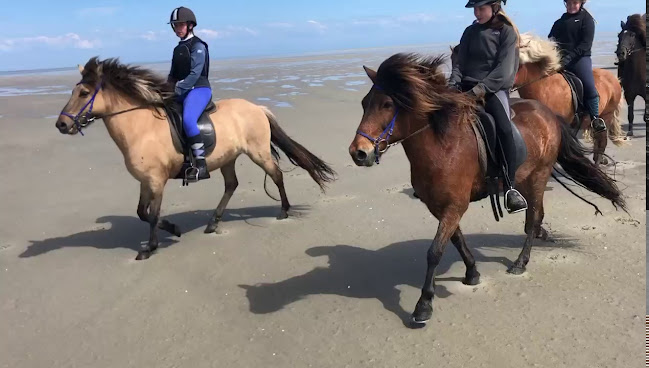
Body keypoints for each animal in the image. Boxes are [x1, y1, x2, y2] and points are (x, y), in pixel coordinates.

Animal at [56, 56, 336, 258]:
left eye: (83, 93)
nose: (61, 124)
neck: (141, 127)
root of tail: (257, 107)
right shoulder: (146, 181)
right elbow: (142, 212)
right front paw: (173, 229)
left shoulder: (156, 180)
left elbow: (152, 214)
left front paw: (151, 248)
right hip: (228, 158)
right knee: (231, 185)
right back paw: (213, 223)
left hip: (258, 152)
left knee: (276, 175)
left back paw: (284, 211)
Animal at [346, 52, 624, 324]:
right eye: (364, 103)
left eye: (387, 104)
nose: (358, 152)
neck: (442, 145)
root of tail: (548, 114)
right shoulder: (439, 207)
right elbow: (456, 239)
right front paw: (472, 272)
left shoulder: (454, 206)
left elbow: (435, 251)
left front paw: (424, 304)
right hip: (525, 177)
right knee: (535, 214)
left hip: (539, 175)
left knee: (533, 217)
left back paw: (521, 262)